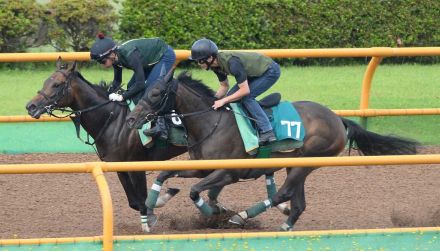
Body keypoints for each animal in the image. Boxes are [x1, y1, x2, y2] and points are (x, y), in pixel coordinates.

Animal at [24, 59, 186, 232]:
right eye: (46, 82)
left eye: (57, 84)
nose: (31, 106)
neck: (113, 120)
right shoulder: (119, 166)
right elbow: (135, 202)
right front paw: (161, 201)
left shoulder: (136, 166)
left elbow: (142, 199)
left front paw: (149, 221)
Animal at [124, 71, 420, 231]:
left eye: (155, 93)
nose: (131, 119)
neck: (210, 122)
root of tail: (337, 118)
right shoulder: (201, 167)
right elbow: (164, 174)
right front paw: (153, 207)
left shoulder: (228, 172)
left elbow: (196, 192)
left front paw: (215, 214)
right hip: (295, 164)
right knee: (298, 202)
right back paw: (285, 225)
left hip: (306, 161)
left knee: (284, 194)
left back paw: (243, 217)